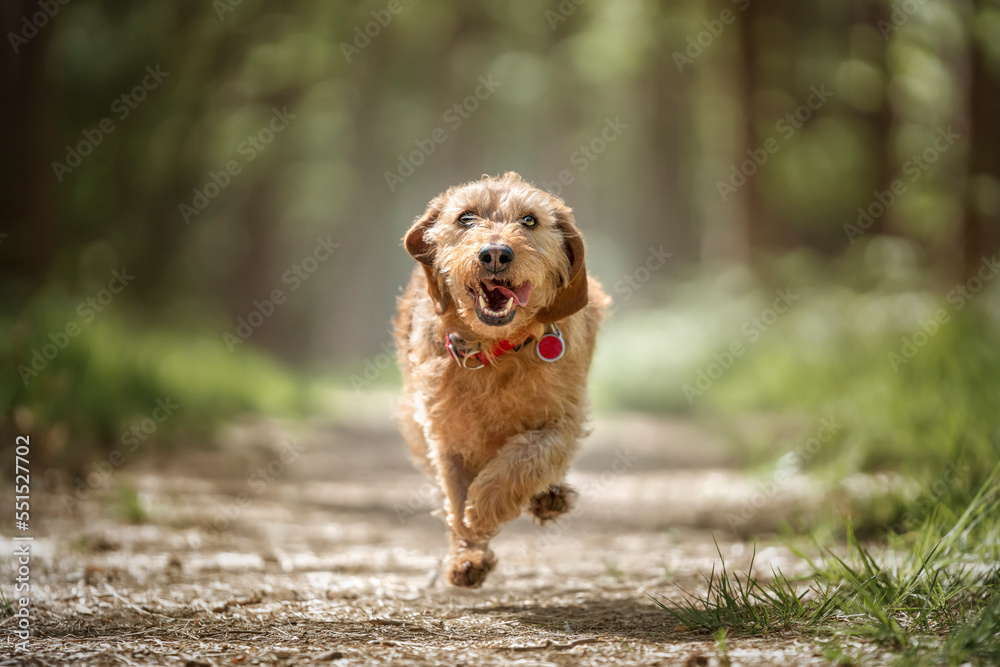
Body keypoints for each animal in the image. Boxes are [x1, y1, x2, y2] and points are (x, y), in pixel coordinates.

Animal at [394, 170, 604, 588]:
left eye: (529, 220)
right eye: (465, 218)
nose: (495, 253)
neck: (496, 350)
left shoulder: (564, 418)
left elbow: (529, 456)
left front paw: (486, 506)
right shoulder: (445, 435)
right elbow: (455, 497)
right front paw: (468, 551)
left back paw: (549, 497)